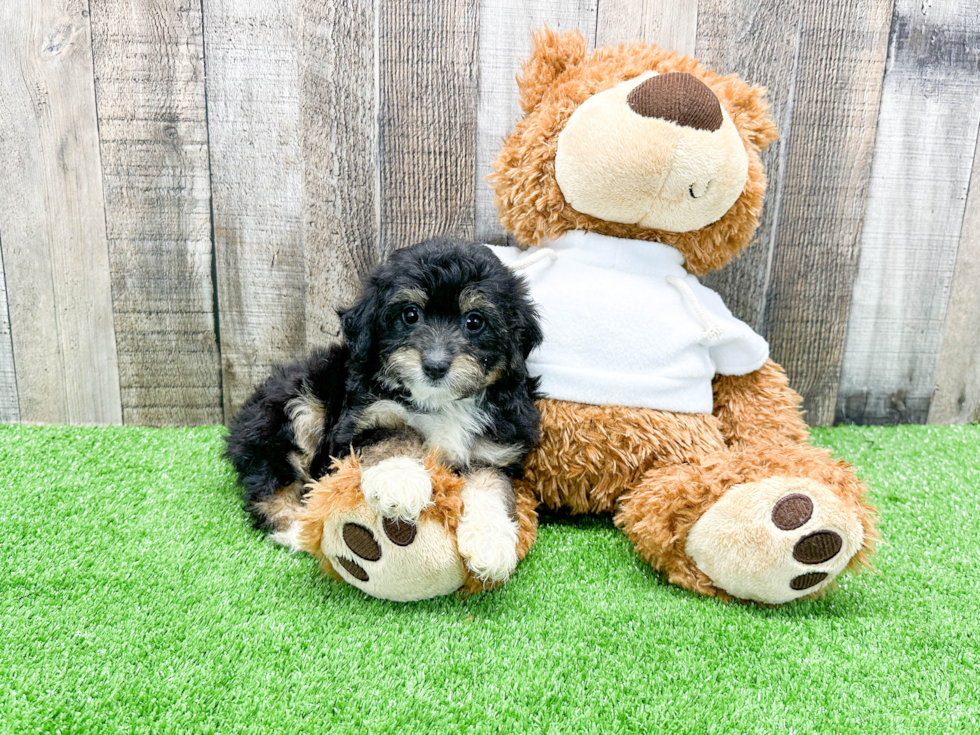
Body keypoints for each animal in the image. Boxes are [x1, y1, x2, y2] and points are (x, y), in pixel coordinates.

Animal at [226, 239, 544, 584]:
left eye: (474, 321)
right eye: (410, 314)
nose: (435, 366)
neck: (441, 403)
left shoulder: (497, 450)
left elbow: (492, 486)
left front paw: (491, 542)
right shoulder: (363, 418)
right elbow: (395, 434)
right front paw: (399, 480)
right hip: (297, 405)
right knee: (270, 479)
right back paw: (298, 527)